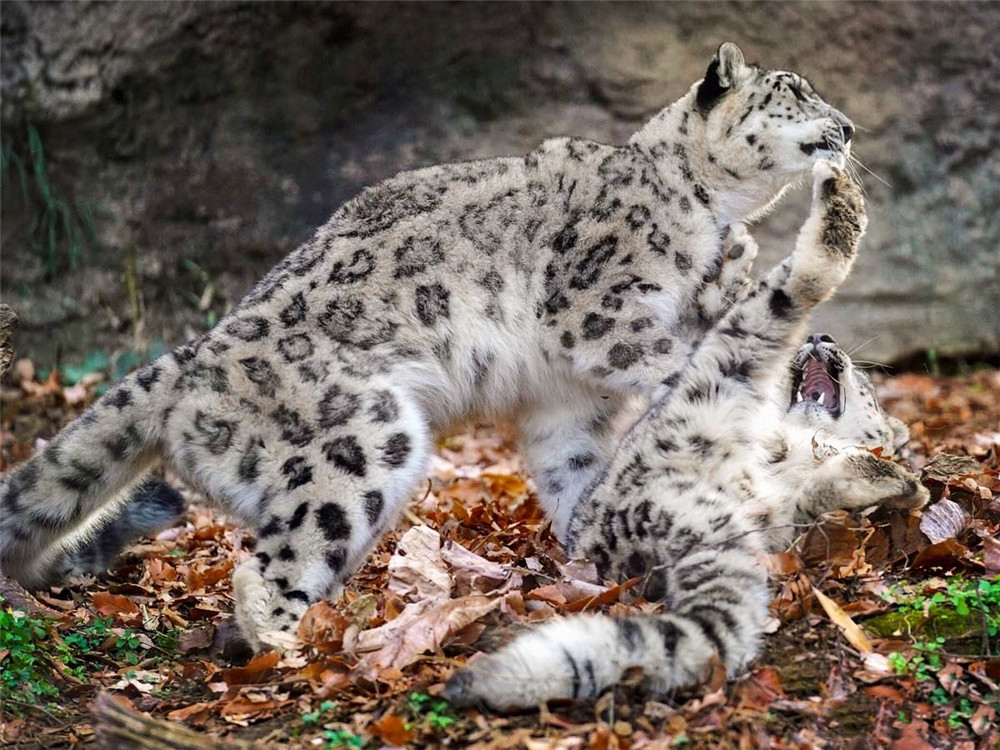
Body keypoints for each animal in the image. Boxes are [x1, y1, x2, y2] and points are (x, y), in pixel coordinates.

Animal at [0, 42, 860, 652]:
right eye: (796, 91)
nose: (850, 126)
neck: (703, 206)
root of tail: (184, 361)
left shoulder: (569, 406)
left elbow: (585, 461)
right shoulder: (593, 305)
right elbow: (668, 353)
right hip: (356, 439)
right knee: (271, 563)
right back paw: (303, 646)